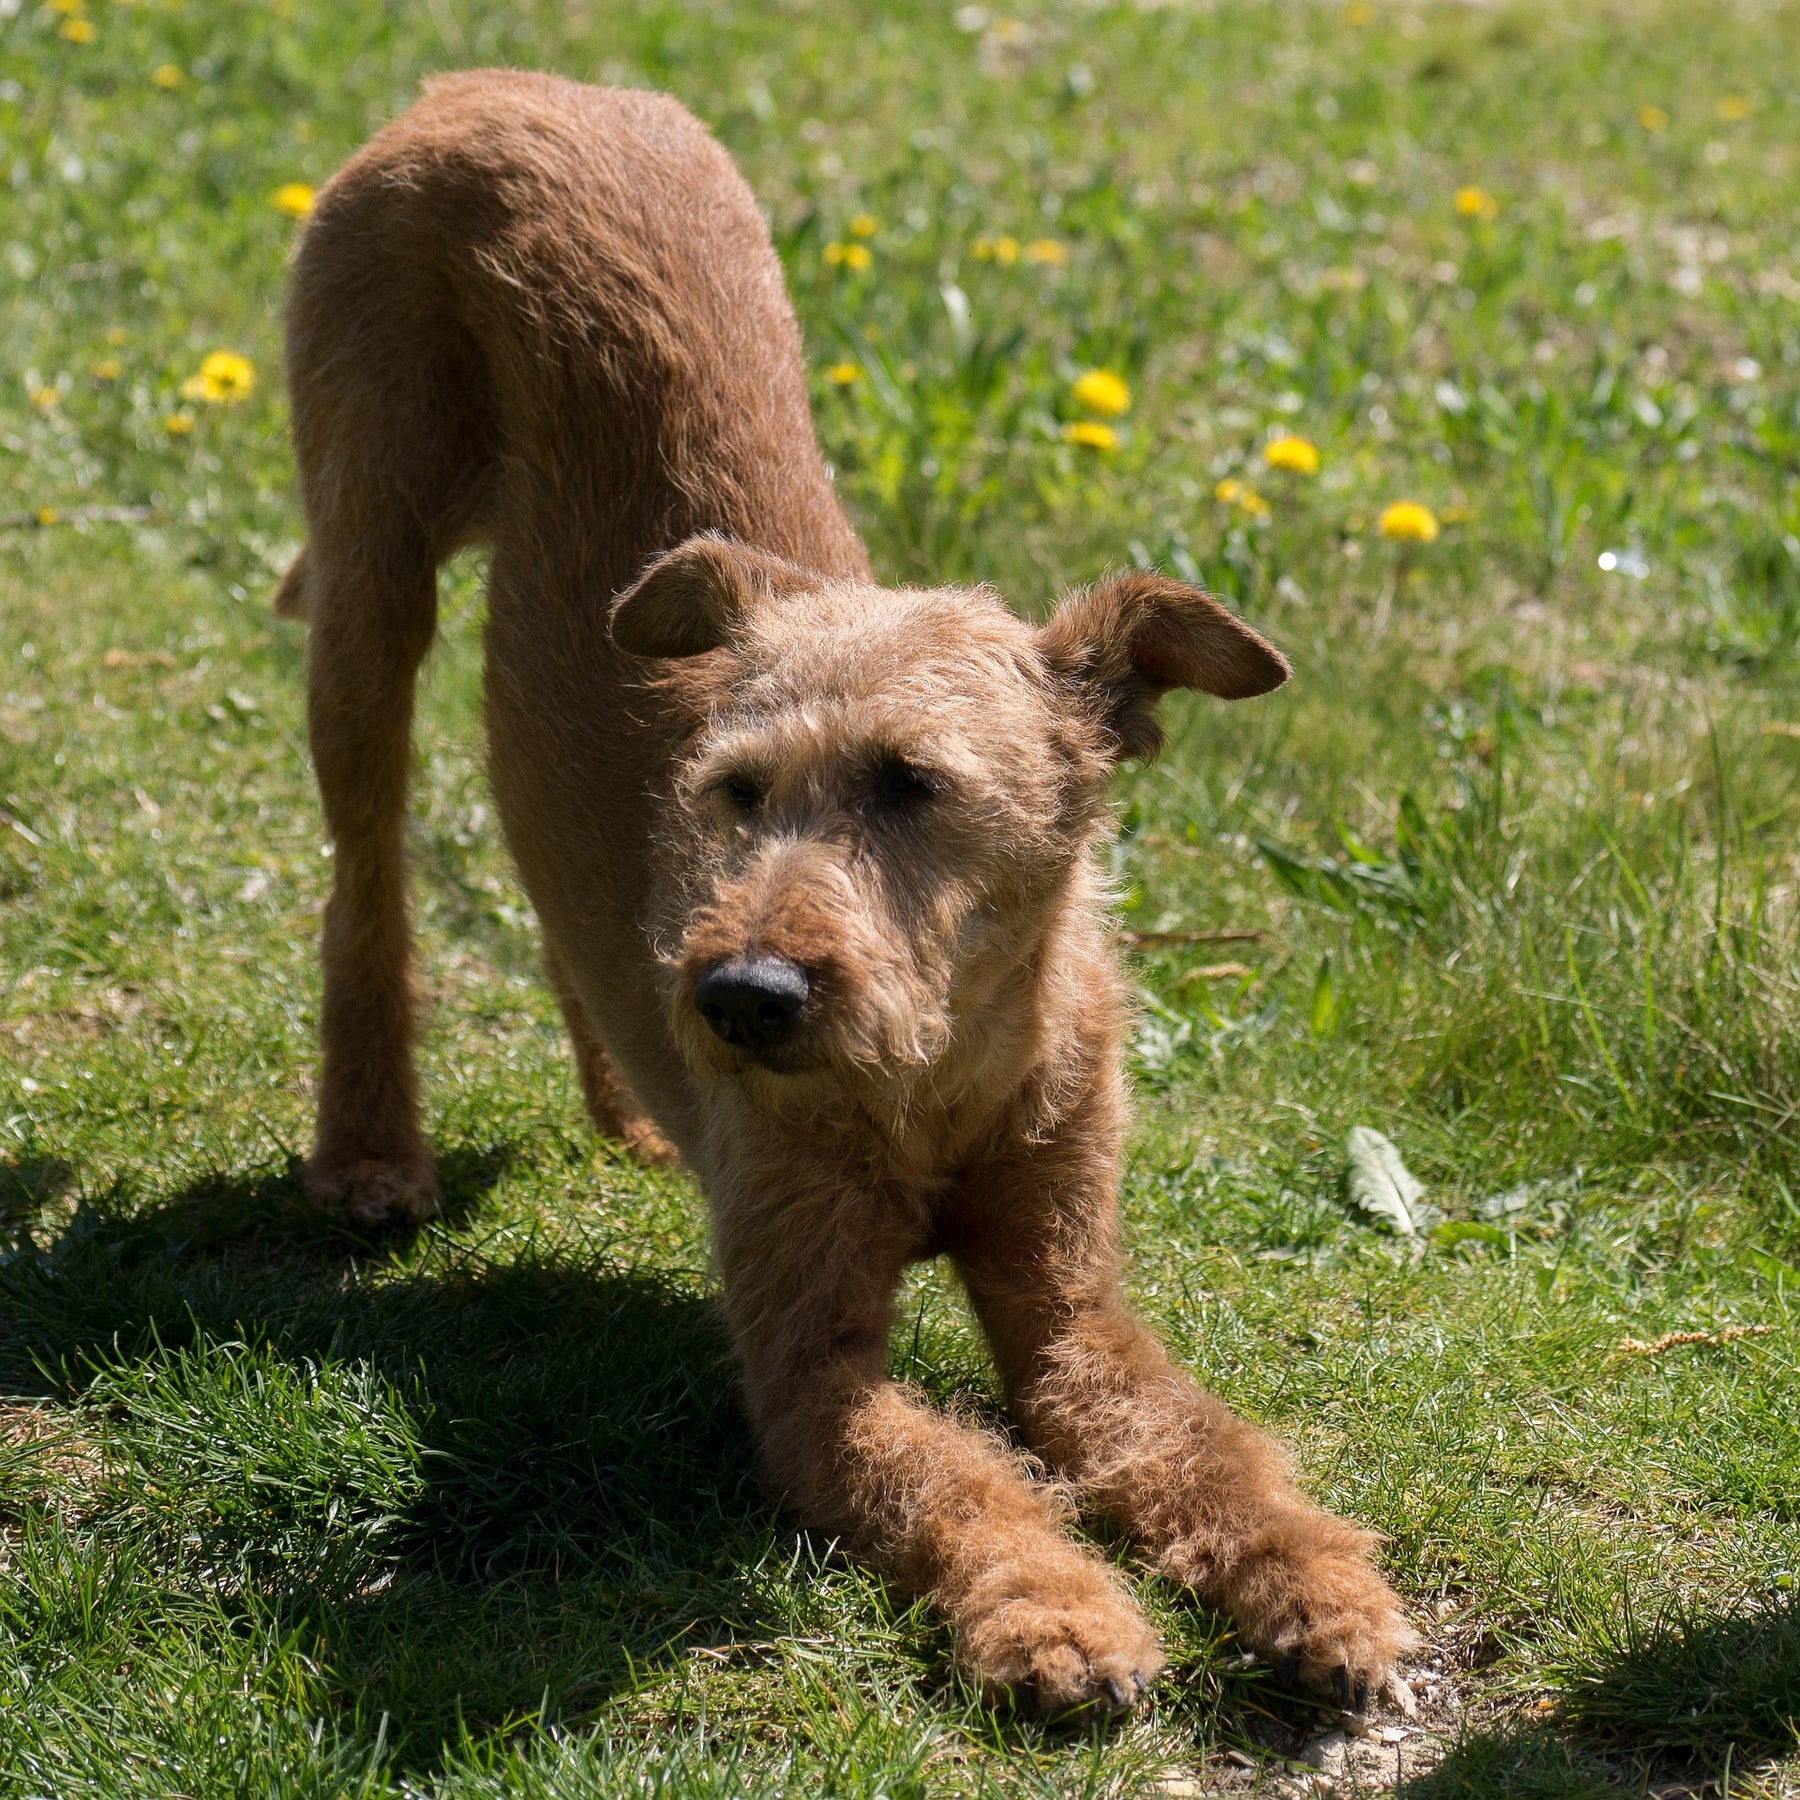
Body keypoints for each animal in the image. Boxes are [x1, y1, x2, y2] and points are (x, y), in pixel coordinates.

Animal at [273, 73, 1411, 1713]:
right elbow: (963, 1482)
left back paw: (630, 1103)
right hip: (370, 581)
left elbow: (1206, 1449)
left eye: (913, 784)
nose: (740, 998)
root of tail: (492, 86)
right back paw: (370, 1154)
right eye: (738, 791)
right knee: (364, 891)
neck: (940, 1074)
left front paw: (1322, 1589)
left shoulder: (1071, 1307)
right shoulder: (811, 1357)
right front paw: (1061, 1617)